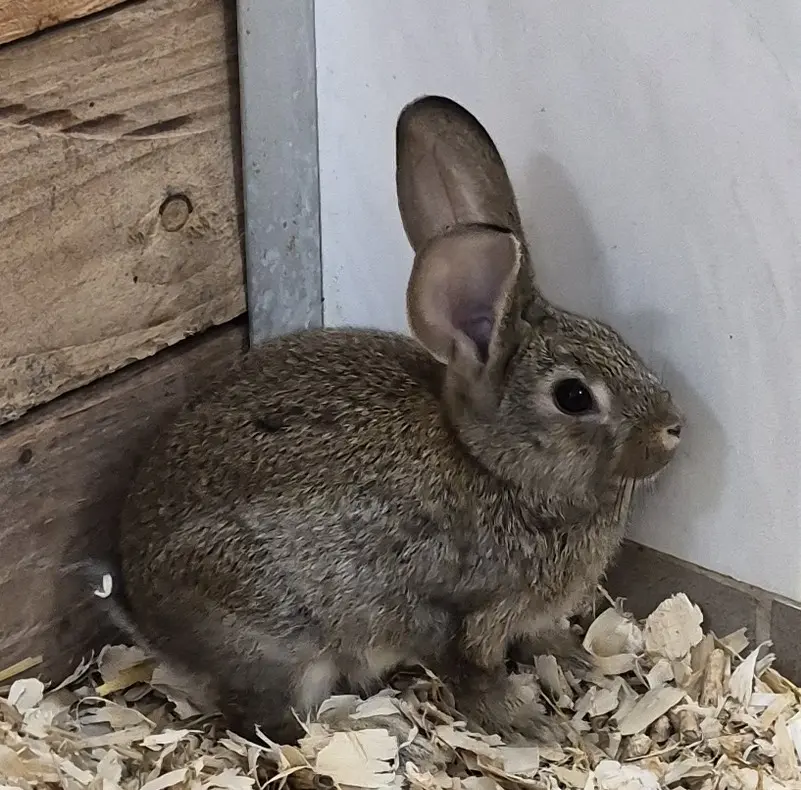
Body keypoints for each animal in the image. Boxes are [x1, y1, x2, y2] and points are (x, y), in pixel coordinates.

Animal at [117, 95, 684, 745]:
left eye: (615, 337)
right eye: (573, 396)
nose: (673, 428)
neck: (495, 467)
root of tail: (150, 622)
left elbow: (540, 639)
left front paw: (577, 659)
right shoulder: (465, 612)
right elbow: (471, 671)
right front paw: (530, 725)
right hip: (281, 644)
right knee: (267, 720)